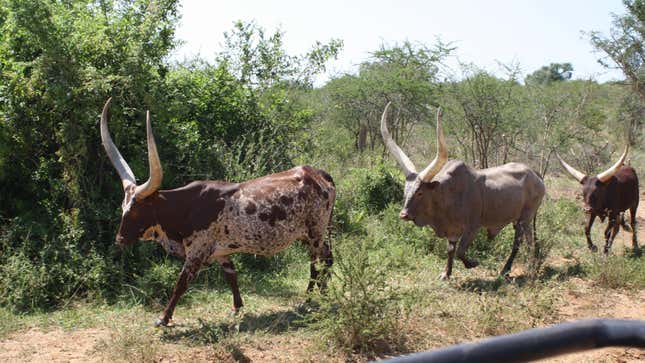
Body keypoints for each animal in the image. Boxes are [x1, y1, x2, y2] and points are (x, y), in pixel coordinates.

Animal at [99, 99, 338, 328]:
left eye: (137, 211)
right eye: (123, 208)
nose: (120, 239)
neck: (185, 207)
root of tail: (317, 173)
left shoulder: (196, 252)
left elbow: (180, 284)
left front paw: (164, 318)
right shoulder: (222, 252)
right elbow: (231, 276)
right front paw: (237, 308)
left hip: (315, 232)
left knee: (319, 262)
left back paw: (312, 299)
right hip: (307, 234)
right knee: (323, 259)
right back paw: (319, 296)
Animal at [380, 104, 544, 280]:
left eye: (420, 192)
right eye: (405, 191)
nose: (403, 215)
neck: (446, 195)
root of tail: (535, 174)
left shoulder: (472, 228)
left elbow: (460, 251)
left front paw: (472, 263)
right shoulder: (452, 232)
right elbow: (451, 250)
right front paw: (446, 273)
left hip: (524, 219)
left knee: (522, 243)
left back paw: (516, 270)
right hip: (520, 220)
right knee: (528, 242)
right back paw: (526, 266)